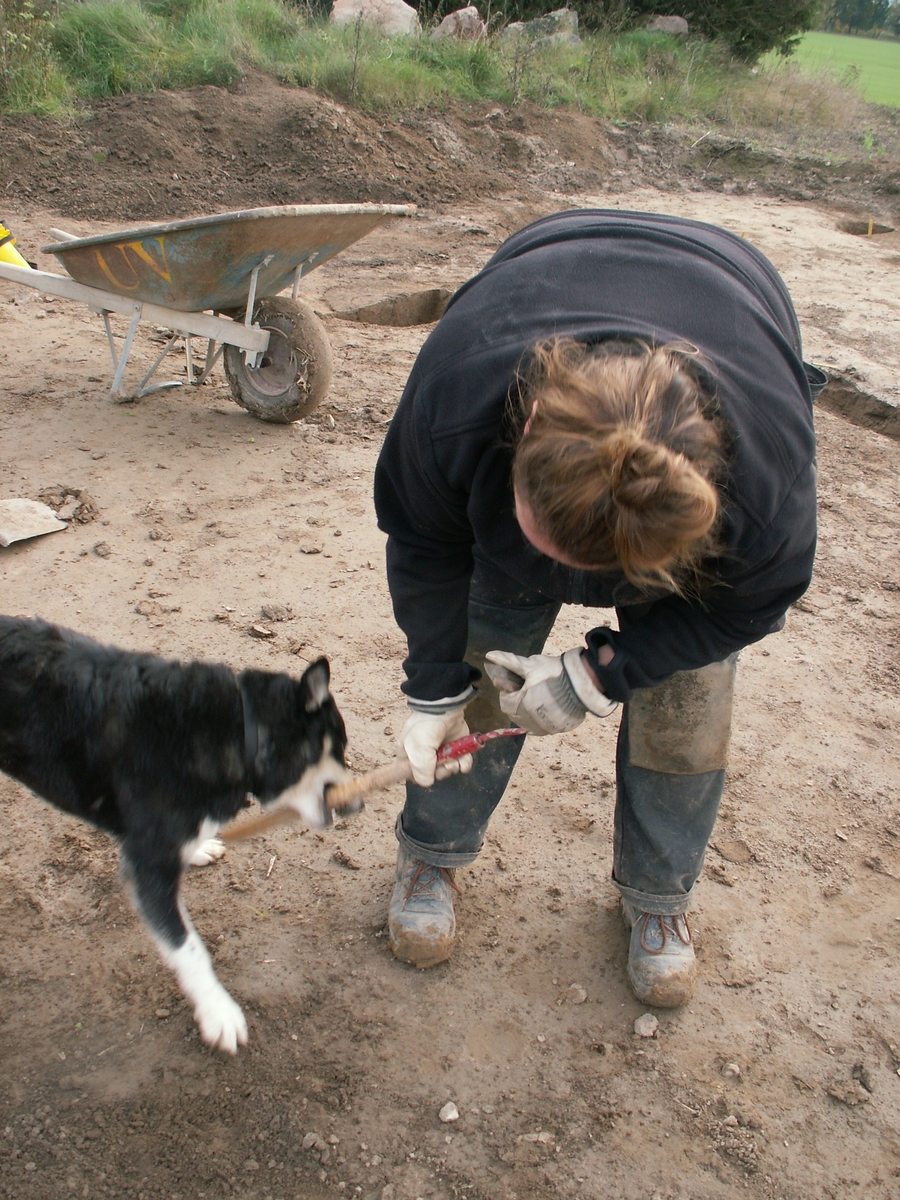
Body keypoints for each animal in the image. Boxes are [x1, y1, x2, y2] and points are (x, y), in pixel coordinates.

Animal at [0, 614, 355, 1056]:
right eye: (339, 748)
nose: (357, 804)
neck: (240, 729)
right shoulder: (148, 865)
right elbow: (189, 948)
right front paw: (219, 1013)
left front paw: (198, 847)